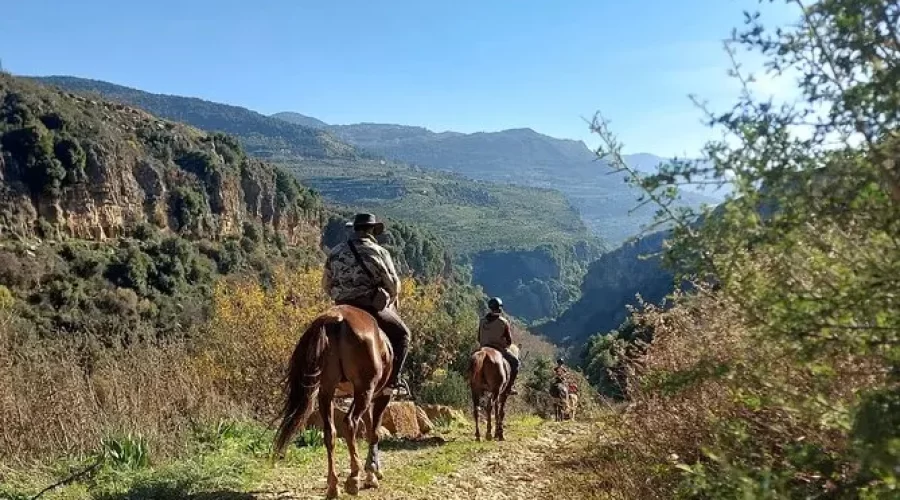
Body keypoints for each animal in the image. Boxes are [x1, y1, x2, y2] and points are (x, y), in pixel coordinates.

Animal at [272, 305, 394, 499]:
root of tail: (336, 319)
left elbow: (369, 428)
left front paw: (371, 472)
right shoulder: (380, 395)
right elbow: (374, 431)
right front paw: (371, 472)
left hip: (327, 390)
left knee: (330, 433)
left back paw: (333, 485)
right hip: (364, 390)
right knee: (350, 422)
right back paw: (353, 478)